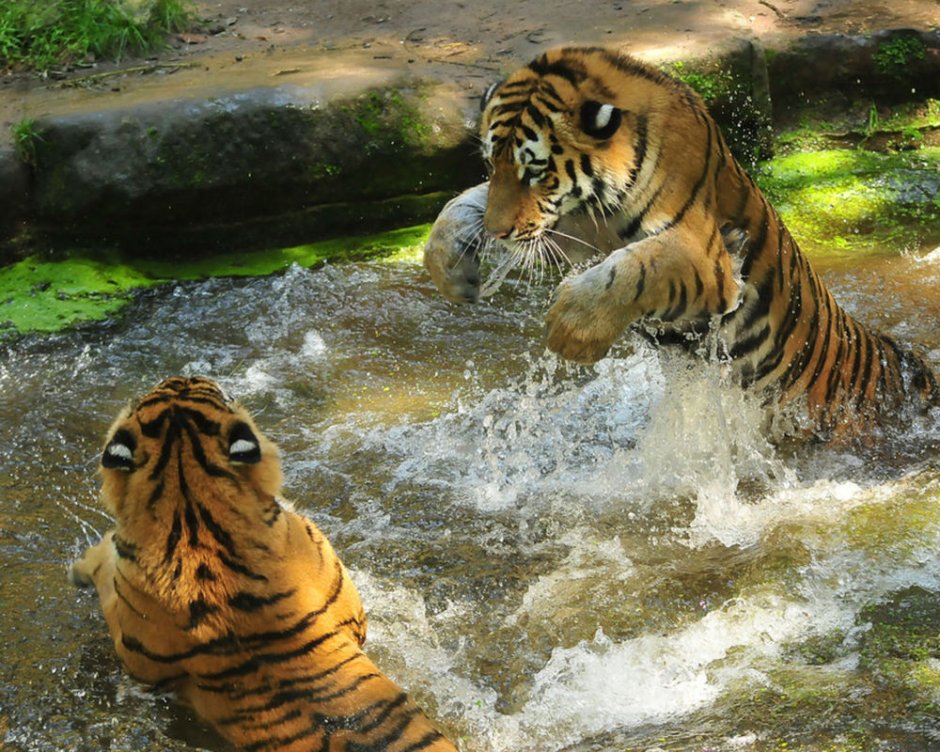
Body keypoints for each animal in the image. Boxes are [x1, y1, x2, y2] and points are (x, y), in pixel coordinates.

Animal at [424, 45, 938, 438]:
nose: (498, 234)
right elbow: (461, 203)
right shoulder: (574, 229)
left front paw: (573, 332)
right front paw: (450, 268)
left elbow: (632, 269)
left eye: (535, 171)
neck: (599, 209)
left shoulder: (707, 257)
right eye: (491, 164)